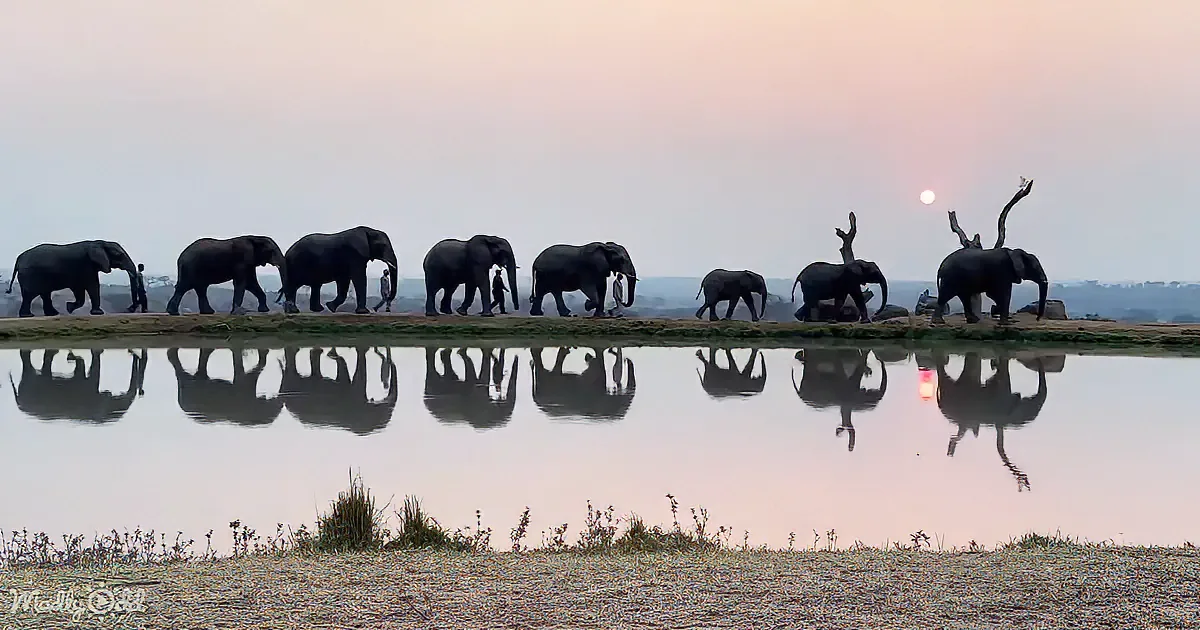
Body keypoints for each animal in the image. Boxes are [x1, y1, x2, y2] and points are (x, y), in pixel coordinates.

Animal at [5, 240, 138, 317]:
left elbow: (80, 289)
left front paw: (69, 308)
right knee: (30, 295)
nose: (130, 309)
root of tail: (18, 259)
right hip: (30, 275)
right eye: (119, 255)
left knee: (44, 294)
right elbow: (92, 286)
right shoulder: (86, 266)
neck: (100, 242)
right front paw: (98, 313)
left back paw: (52, 314)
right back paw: (28, 316)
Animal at [8, 348, 146, 424]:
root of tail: (17, 400)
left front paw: (72, 357)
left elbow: (80, 368)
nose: (132, 353)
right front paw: (74, 356)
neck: (100, 420)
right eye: (121, 404)